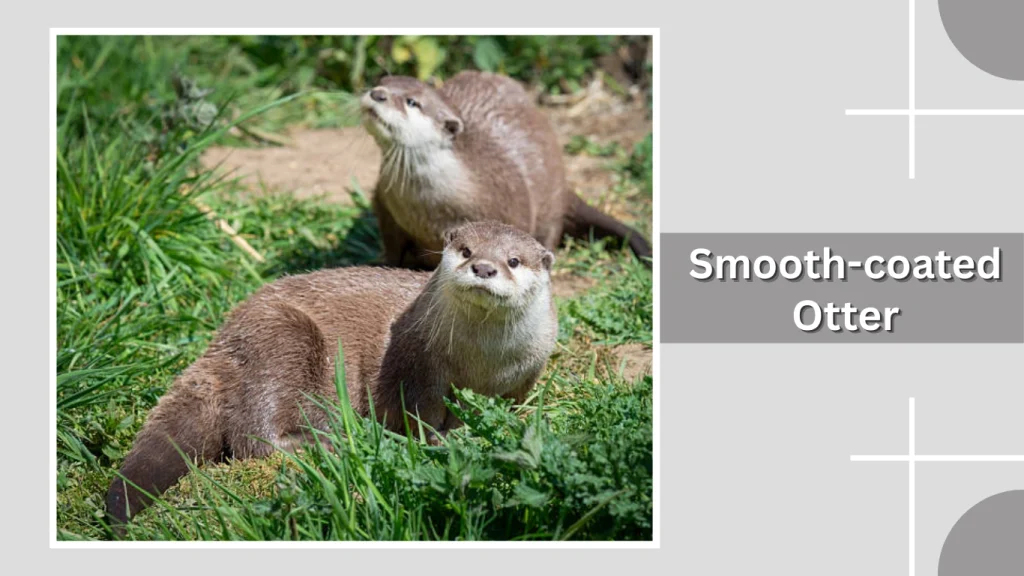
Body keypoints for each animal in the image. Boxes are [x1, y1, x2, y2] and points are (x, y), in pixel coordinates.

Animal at [105, 221, 557, 532]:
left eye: (513, 261)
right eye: (465, 250)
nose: (484, 267)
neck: (480, 364)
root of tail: (220, 344)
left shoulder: (527, 374)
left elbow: (508, 410)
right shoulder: (418, 361)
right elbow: (420, 414)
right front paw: (437, 442)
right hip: (283, 336)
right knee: (252, 436)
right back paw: (331, 442)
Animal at [360, 70, 652, 270]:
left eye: (412, 102)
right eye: (381, 80)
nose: (377, 93)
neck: (425, 208)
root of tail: (564, 186)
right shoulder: (386, 208)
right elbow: (392, 247)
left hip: (549, 202)